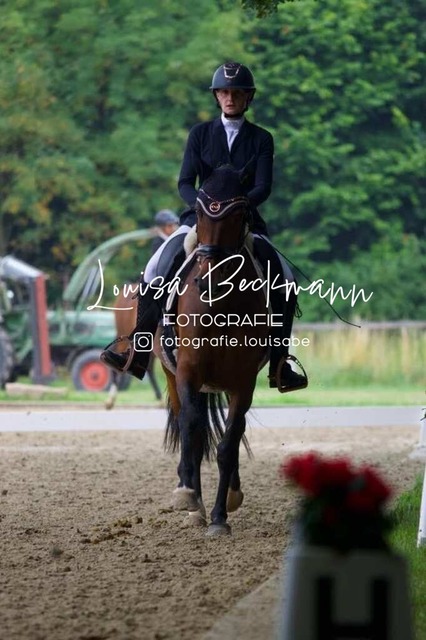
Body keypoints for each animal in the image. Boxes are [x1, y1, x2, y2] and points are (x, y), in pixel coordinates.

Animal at [154, 165, 270, 536]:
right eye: (201, 211)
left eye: (238, 214)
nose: (207, 281)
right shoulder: (188, 372)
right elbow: (193, 433)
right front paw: (190, 499)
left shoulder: (243, 382)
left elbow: (228, 445)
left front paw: (220, 517)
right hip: (172, 374)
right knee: (187, 423)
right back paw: (190, 497)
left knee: (232, 433)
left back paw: (230, 494)